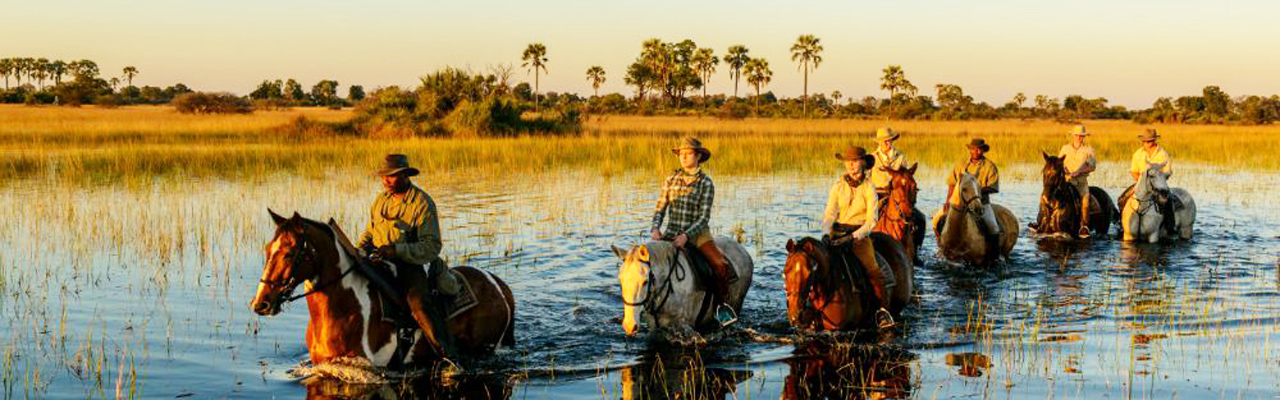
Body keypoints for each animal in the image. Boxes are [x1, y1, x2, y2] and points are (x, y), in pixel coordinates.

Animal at [249, 211, 514, 369]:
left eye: (289, 252)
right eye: (268, 249)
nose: (261, 303)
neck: (343, 307)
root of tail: (497, 283)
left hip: (484, 348)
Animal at [609, 237, 747, 338]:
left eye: (645, 281)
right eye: (620, 280)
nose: (629, 325)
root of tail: (741, 248)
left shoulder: (684, 326)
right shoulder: (653, 326)